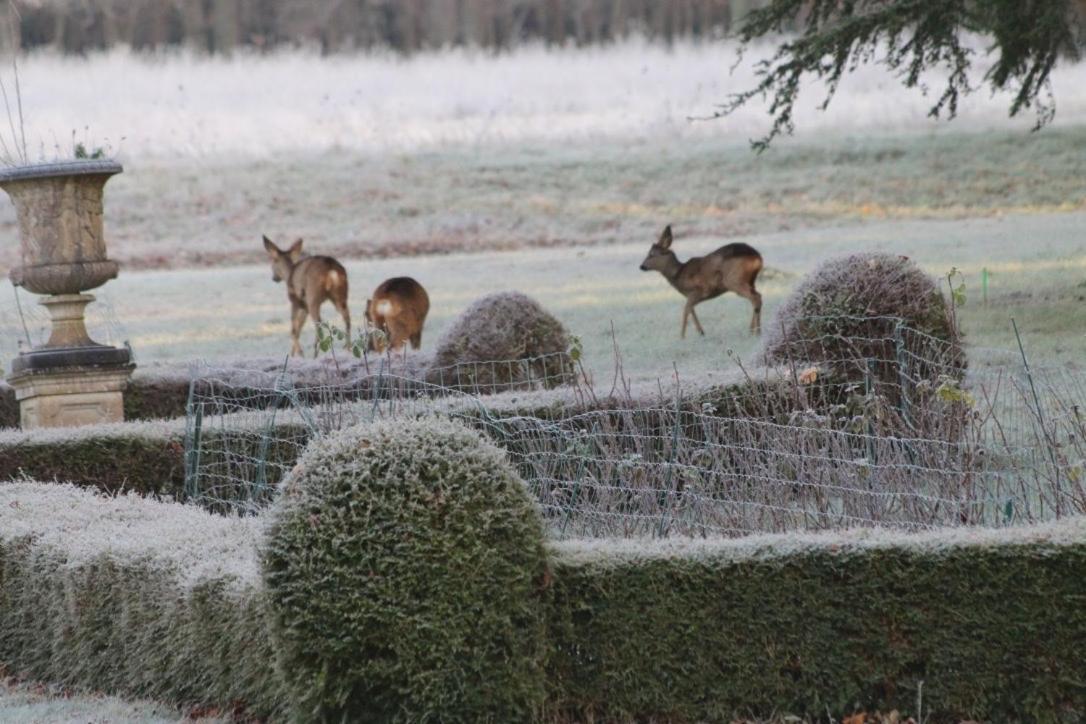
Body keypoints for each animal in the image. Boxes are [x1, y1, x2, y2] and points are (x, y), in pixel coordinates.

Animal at [634, 223, 764, 340]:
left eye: (651, 254)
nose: (642, 266)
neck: (679, 274)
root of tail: (758, 257)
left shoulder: (697, 291)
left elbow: (686, 310)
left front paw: (682, 336)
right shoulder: (692, 296)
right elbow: (691, 310)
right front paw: (701, 332)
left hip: (733, 280)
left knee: (755, 298)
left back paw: (756, 332)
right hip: (750, 280)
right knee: (757, 297)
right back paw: (752, 330)